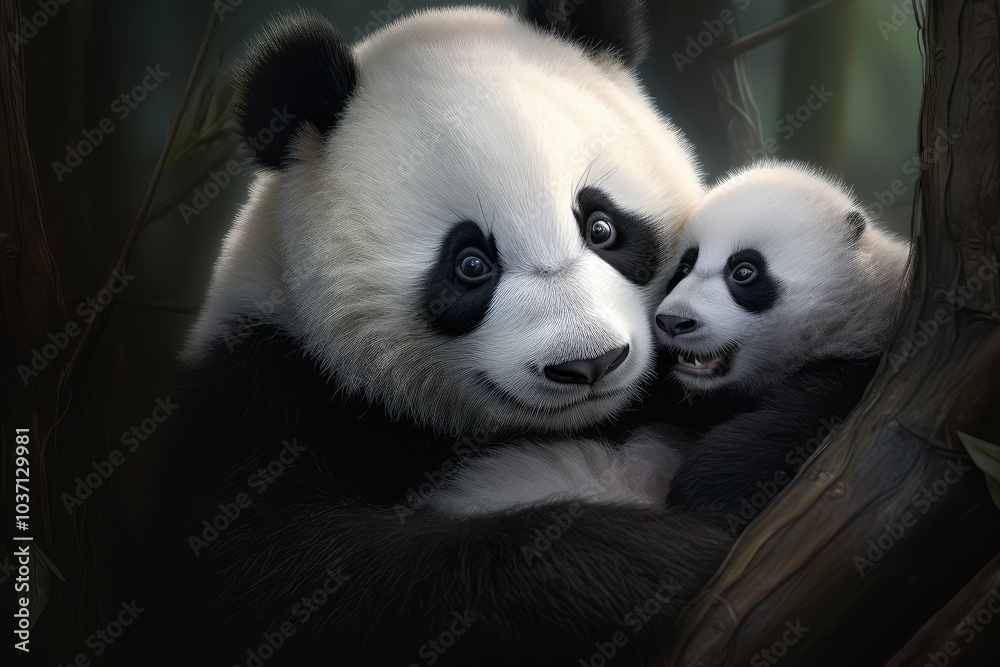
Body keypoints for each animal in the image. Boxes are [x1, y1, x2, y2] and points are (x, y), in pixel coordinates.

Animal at [131, 2, 733, 666]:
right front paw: (659, 562)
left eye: (602, 226)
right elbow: (260, 579)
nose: (590, 363)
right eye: (470, 264)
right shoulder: (261, 390)